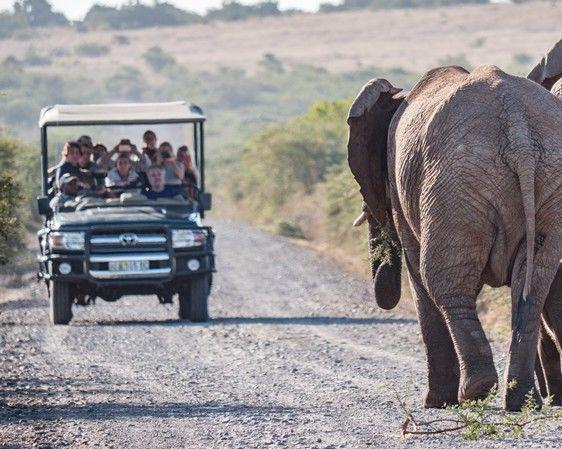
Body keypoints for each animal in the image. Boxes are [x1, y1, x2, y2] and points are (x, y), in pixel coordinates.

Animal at [346, 65, 560, 410]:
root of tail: (518, 130)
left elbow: (419, 277)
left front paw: (434, 402)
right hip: (546, 182)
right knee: (533, 288)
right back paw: (519, 402)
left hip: (455, 184)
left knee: (443, 282)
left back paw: (474, 391)